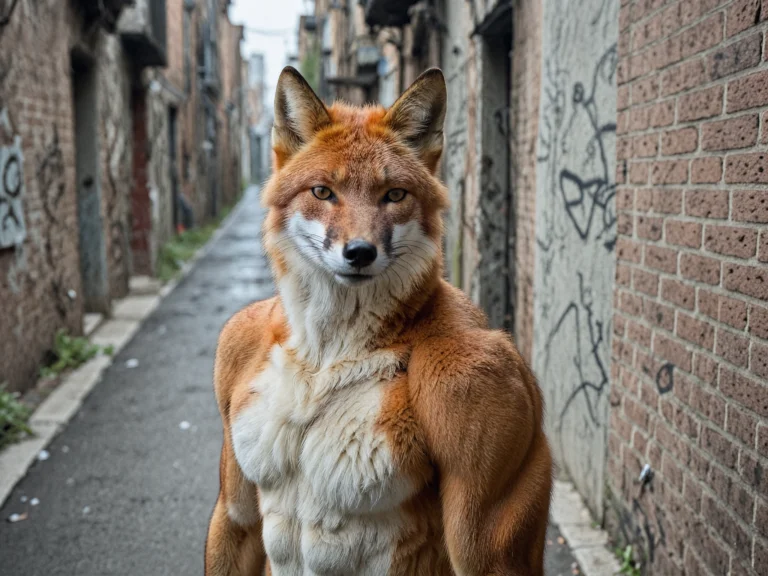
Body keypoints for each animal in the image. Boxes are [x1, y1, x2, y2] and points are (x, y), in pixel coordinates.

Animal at [205, 66, 553, 576]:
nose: (359, 252)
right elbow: (238, 517)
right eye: (322, 192)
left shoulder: (472, 377)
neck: (324, 359)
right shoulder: (236, 506)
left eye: (394, 195)